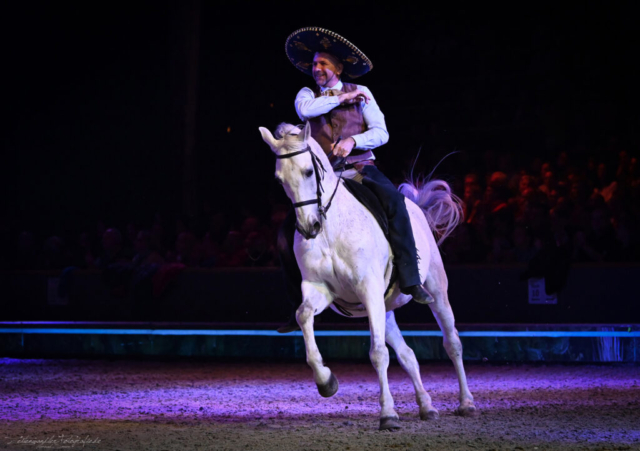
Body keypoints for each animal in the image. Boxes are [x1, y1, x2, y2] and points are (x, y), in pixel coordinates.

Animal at [258, 122, 476, 430]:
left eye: (309, 171)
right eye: (279, 180)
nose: (309, 227)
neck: (331, 230)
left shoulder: (368, 289)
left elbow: (378, 354)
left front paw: (388, 415)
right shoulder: (319, 289)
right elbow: (303, 316)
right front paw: (326, 382)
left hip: (435, 290)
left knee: (452, 342)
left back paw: (466, 403)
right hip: (384, 308)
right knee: (408, 355)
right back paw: (427, 406)